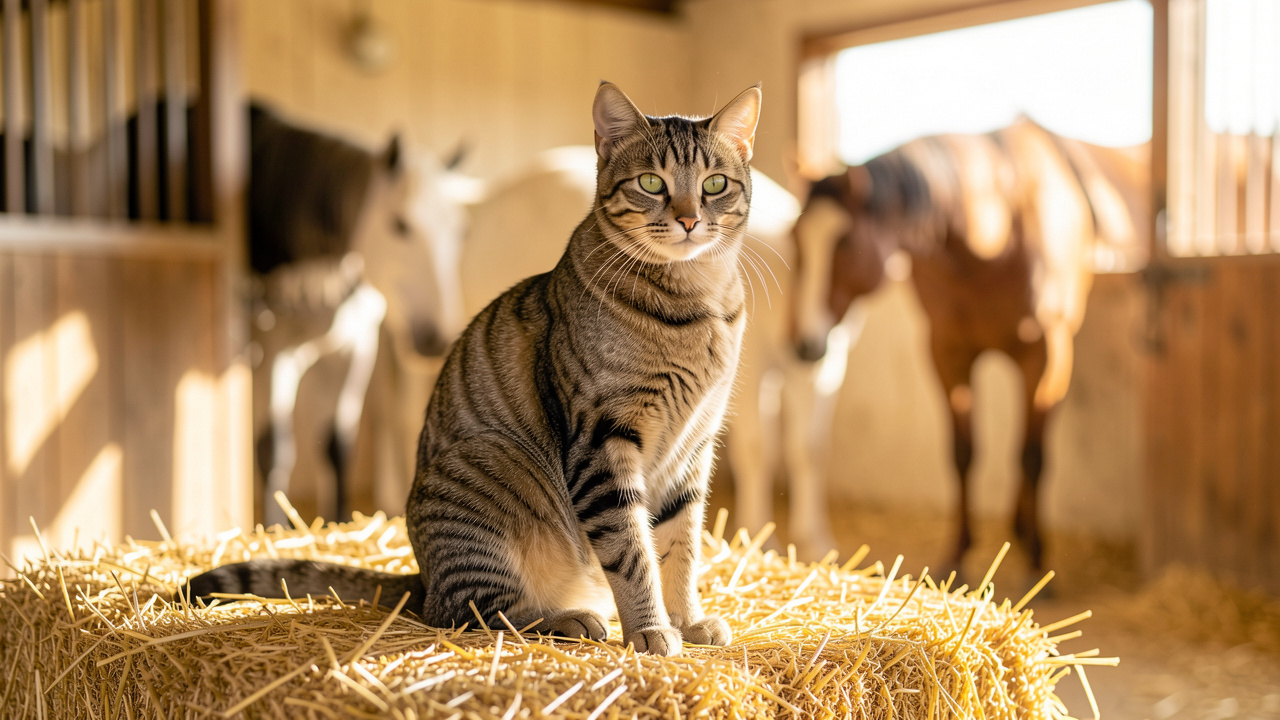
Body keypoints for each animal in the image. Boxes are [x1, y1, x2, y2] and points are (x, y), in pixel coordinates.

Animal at [790, 117, 1148, 573]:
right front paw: (957, 555)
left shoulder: (1046, 355)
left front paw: (1036, 558)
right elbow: (963, 453)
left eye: (846, 245)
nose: (804, 344)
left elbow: (1032, 456)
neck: (996, 237)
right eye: (795, 239)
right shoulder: (947, 353)